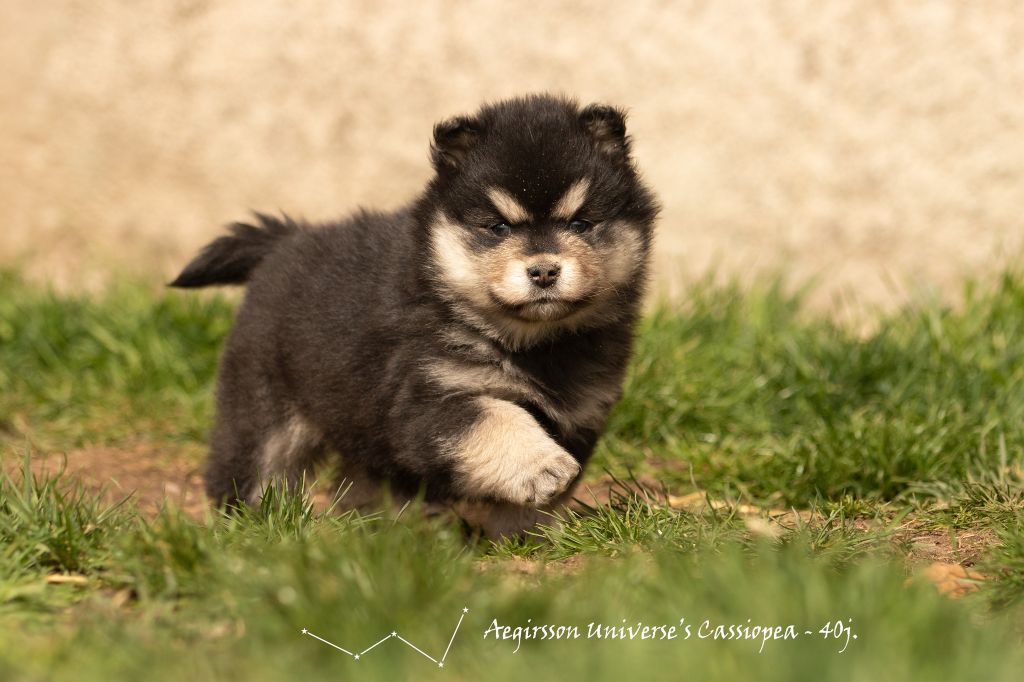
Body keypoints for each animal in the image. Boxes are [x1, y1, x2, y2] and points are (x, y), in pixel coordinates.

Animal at [172, 93, 659, 532]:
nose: (543, 271)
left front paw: (522, 533)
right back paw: (252, 528)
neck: (531, 343)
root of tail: (286, 240)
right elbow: (495, 418)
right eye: (498, 227)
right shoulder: (426, 398)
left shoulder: (581, 413)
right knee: (251, 467)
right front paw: (542, 467)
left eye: (581, 223)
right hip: (263, 408)